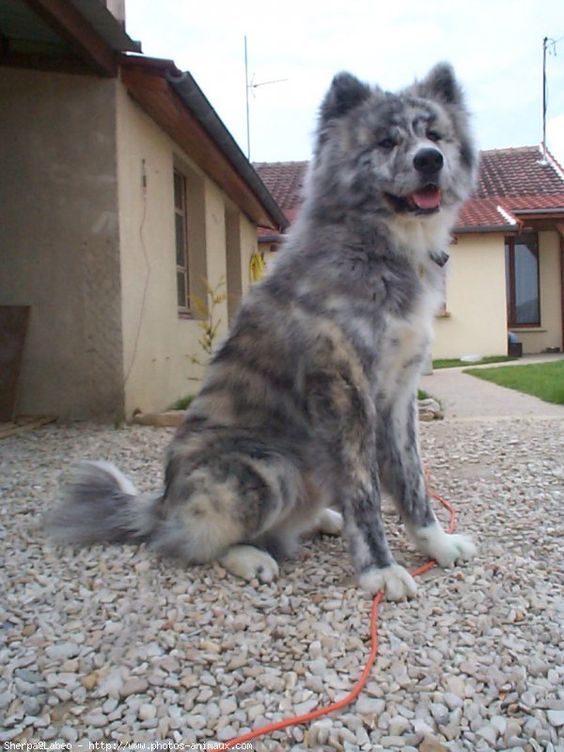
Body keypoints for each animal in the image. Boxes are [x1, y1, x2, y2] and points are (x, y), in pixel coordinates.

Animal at [46, 63, 480, 600]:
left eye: (434, 135)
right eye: (385, 141)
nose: (429, 160)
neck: (376, 248)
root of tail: (160, 503)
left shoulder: (399, 397)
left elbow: (412, 484)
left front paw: (436, 545)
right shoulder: (345, 393)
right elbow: (365, 494)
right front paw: (379, 569)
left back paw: (324, 520)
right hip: (268, 469)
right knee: (183, 541)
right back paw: (249, 556)